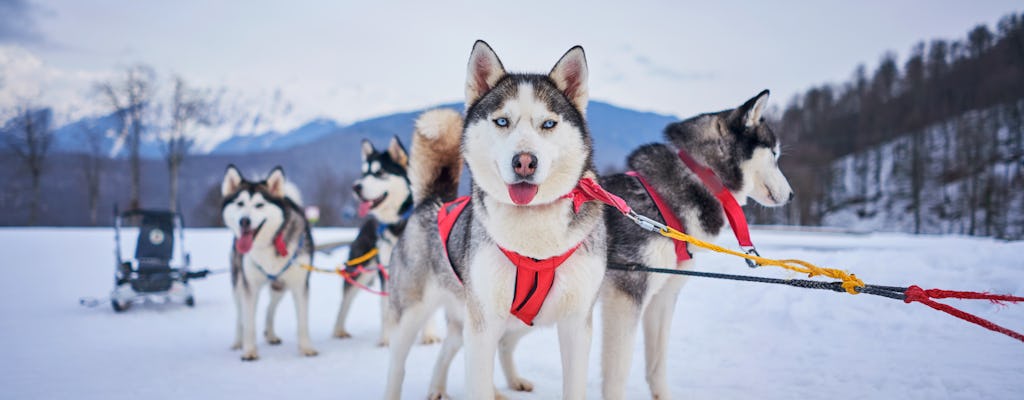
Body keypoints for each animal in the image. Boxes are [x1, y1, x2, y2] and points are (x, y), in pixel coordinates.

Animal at [222, 164, 317, 362]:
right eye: (240, 204)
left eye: (259, 205)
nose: (244, 221)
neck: (270, 243)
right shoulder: (249, 286)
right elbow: (249, 323)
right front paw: (249, 351)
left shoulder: (299, 284)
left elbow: (303, 322)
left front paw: (306, 348)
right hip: (238, 283)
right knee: (240, 315)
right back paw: (238, 341)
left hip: (280, 286)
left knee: (270, 308)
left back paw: (270, 334)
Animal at [331, 137, 436, 343]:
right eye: (363, 173)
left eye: (379, 173)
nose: (356, 187)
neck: (397, 224)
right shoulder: (388, 271)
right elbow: (387, 310)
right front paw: (387, 339)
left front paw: (428, 336)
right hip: (359, 269)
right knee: (345, 301)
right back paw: (339, 329)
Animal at [385, 41, 606, 400]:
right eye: (502, 121)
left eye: (548, 124)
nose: (525, 162)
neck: (534, 242)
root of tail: (434, 200)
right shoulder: (484, 324)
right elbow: (477, 381)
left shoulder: (576, 324)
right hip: (412, 313)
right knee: (396, 366)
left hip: (491, 319)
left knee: (455, 347)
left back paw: (444, 387)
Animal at [598, 91, 790, 400]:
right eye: (774, 154)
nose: (793, 195)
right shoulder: (625, 295)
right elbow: (617, 374)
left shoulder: (663, 297)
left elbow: (657, 365)